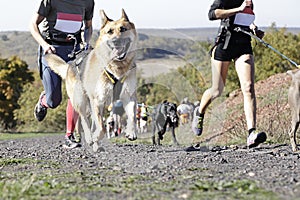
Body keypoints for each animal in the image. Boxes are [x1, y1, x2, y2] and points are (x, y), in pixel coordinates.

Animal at [45, 9, 138, 152]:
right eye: (110, 31)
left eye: (123, 29)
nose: (116, 41)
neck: (116, 67)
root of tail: (71, 64)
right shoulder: (98, 100)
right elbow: (101, 128)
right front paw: (94, 137)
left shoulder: (128, 96)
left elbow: (132, 116)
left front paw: (131, 132)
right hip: (82, 101)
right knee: (83, 119)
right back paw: (89, 138)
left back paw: (96, 145)